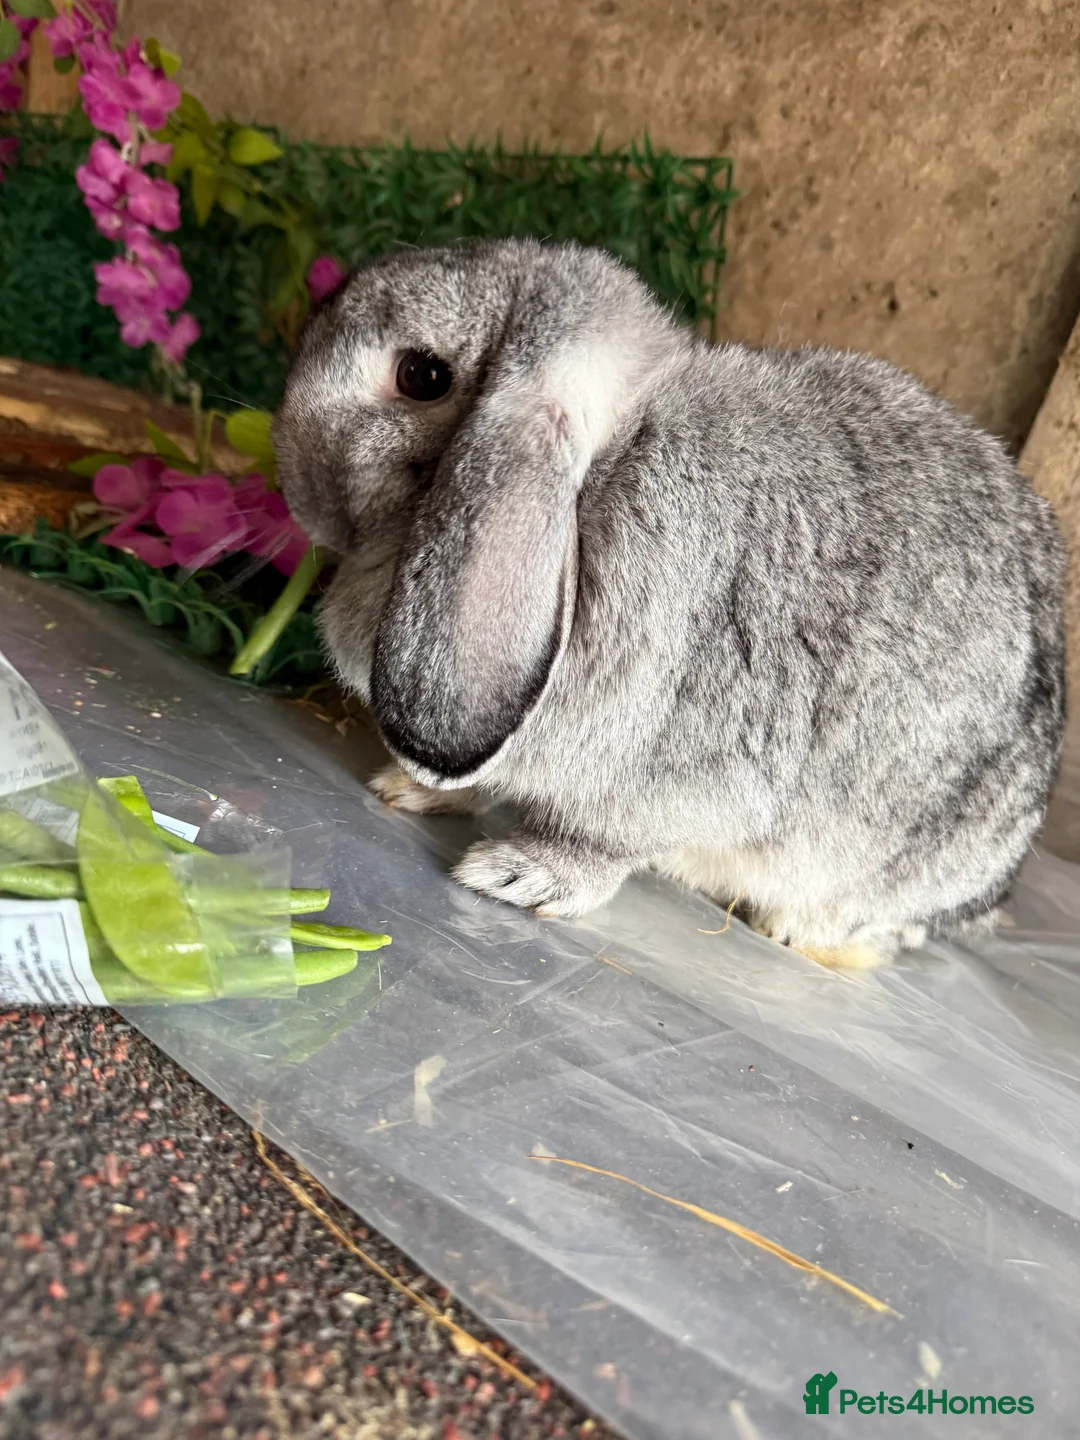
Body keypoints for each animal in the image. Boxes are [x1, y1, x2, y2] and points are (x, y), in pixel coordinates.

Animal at [273, 237, 1066, 968]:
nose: (292, 474)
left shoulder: (682, 773)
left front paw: (520, 876)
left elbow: (602, 842)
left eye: (421, 375)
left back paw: (795, 932)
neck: (592, 486)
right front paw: (409, 790)